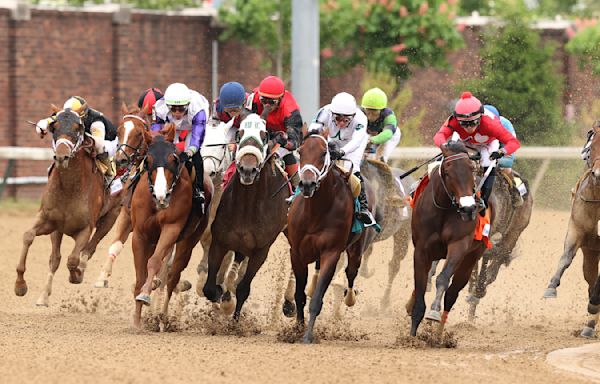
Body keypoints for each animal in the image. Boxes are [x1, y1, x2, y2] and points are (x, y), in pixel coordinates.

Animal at [14, 106, 108, 304]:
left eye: (77, 128)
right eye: (54, 127)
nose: (61, 156)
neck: (70, 187)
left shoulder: (86, 227)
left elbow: (73, 259)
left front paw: (76, 275)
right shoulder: (48, 220)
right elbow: (28, 236)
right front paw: (20, 285)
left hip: (112, 217)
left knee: (90, 248)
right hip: (58, 230)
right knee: (55, 258)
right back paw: (43, 296)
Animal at [132, 123, 213, 328]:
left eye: (173, 159)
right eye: (148, 159)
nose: (162, 197)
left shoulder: (171, 228)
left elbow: (154, 262)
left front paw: (145, 295)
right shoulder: (139, 234)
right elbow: (140, 275)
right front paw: (136, 320)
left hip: (188, 241)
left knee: (172, 276)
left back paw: (162, 317)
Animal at [203, 112, 290, 320]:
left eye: (264, 136)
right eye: (239, 134)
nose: (248, 170)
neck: (248, 207)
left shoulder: (261, 251)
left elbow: (243, 289)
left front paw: (234, 319)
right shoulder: (219, 241)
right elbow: (209, 287)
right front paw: (220, 295)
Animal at [288, 130, 380, 344]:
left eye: (324, 153)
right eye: (300, 151)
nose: (307, 184)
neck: (315, 212)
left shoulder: (331, 253)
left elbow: (317, 299)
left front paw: (307, 336)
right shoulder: (296, 253)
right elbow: (299, 295)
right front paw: (297, 329)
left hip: (357, 250)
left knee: (351, 273)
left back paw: (349, 297)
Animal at [406, 140, 494, 336]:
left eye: (471, 170)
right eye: (447, 172)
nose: (468, 209)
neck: (444, 210)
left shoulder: (458, 245)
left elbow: (443, 279)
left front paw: (433, 312)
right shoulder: (421, 249)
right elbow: (420, 283)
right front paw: (412, 334)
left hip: (469, 260)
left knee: (453, 293)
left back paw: (439, 335)